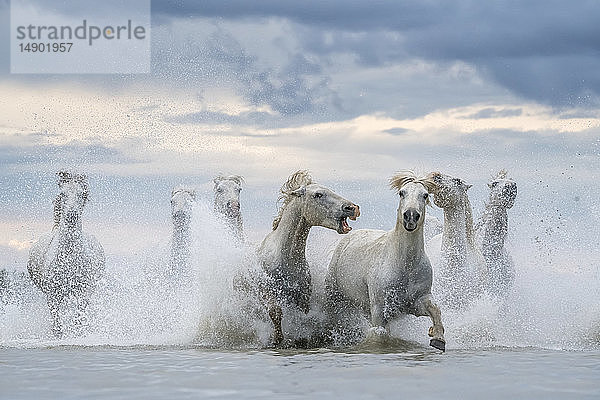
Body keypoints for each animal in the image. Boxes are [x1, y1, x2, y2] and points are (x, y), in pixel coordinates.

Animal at [27, 170, 105, 336]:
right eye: (63, 193)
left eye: (81, 194)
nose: (71, 215)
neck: (69, 258)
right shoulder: (52, 295)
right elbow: (57, 325)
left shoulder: (83, 292)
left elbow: (78, 319)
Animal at [255, 170, 358, 346]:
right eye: (318, 194)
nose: (351, 208)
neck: (286, 259)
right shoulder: (266, 291)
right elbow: (275, 312)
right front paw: (277, 340)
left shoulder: (303, 297)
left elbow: (301, 317)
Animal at [324, 171, 446, 350]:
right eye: (402, 193)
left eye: (424, 195)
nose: (410, 216)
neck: (405, 265)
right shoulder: (379, 309)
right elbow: (380, 334)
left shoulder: (417, 302)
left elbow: (435, 310)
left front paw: (437, 338)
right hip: (334, 294)